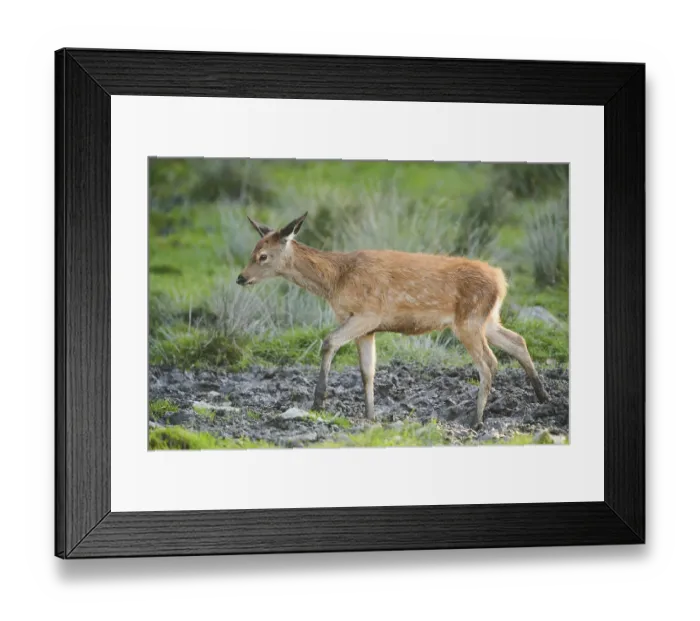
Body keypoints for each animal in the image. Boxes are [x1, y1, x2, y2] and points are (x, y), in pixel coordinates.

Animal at [237, 212, 549, 429]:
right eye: (252, 251)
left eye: (262, 256)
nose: (241, 277)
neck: (336, 280)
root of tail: (501, 280)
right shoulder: (368, 329)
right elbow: (368, 371)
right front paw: (371, 415)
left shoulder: (368, 313)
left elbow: (328, 342)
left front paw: (318, 401)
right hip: (488, 318)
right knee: (518, 340)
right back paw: (543, 398)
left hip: (469, 321)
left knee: (489, 363)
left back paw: (476, 420)